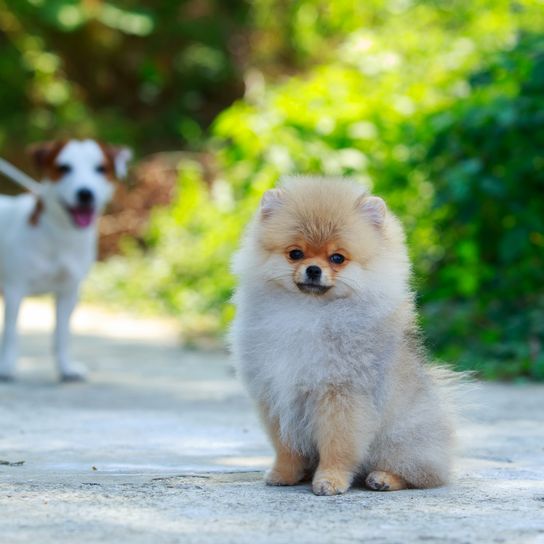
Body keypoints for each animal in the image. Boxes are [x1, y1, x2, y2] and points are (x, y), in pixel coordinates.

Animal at [0, 138, 131, 380]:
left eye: (101, 168)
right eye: (64, 168)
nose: (85, 193)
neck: (61, 235)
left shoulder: (69, 292)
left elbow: (62, 335)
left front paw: (66, 367)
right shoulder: (15, 289)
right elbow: (12, 333)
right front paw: (7, 367)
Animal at [232, 176, 456, 496]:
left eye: (337, 258)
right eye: (295, 253)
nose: (313, 269)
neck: (307, 312)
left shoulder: (342, 395)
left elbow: (338, 445)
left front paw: (330, 480)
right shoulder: (275, 392)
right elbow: (286, 445)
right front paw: (284, 474)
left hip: (402, 439)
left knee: (423, 475)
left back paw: (384, 478)